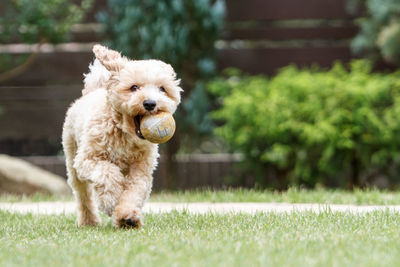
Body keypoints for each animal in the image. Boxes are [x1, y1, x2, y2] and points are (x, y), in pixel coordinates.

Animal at [62, 45, 183, 229]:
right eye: (134, 87)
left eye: (162, 89)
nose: (150, 103)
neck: (124, 132)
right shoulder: (88, 159)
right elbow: (107, 173)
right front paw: (111, 200)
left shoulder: (141, 169)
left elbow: (134, 191)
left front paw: (127, 216)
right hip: (72, 159)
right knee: (83, 194)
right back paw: (89, 221)